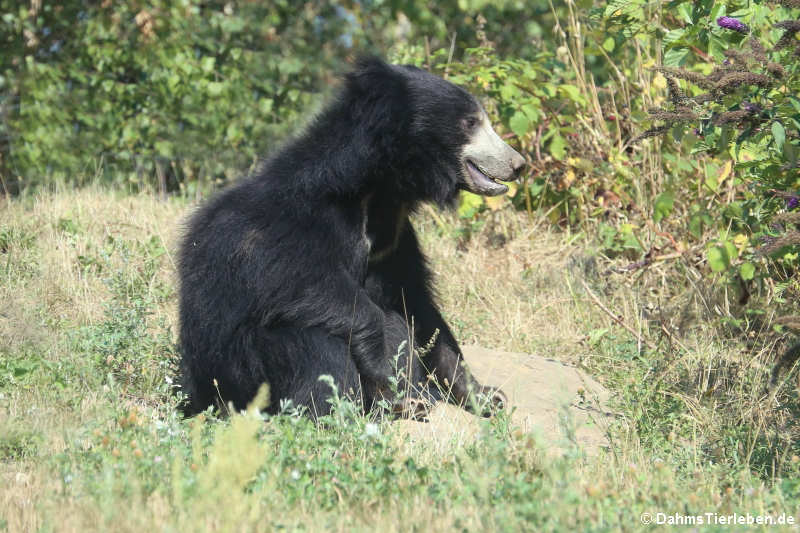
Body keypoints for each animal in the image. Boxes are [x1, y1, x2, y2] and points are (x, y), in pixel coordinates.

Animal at [179, 56, 528, 418]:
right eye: (471, 122)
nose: (518, 164)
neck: (375, 190)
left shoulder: (395, 240)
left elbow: (418, 307)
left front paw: (485, 395)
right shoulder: (276, 229)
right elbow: (302, 282)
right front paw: (383, 377)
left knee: (395, 320)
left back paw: (407, 400)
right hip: (244, 373)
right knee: (311, 339)